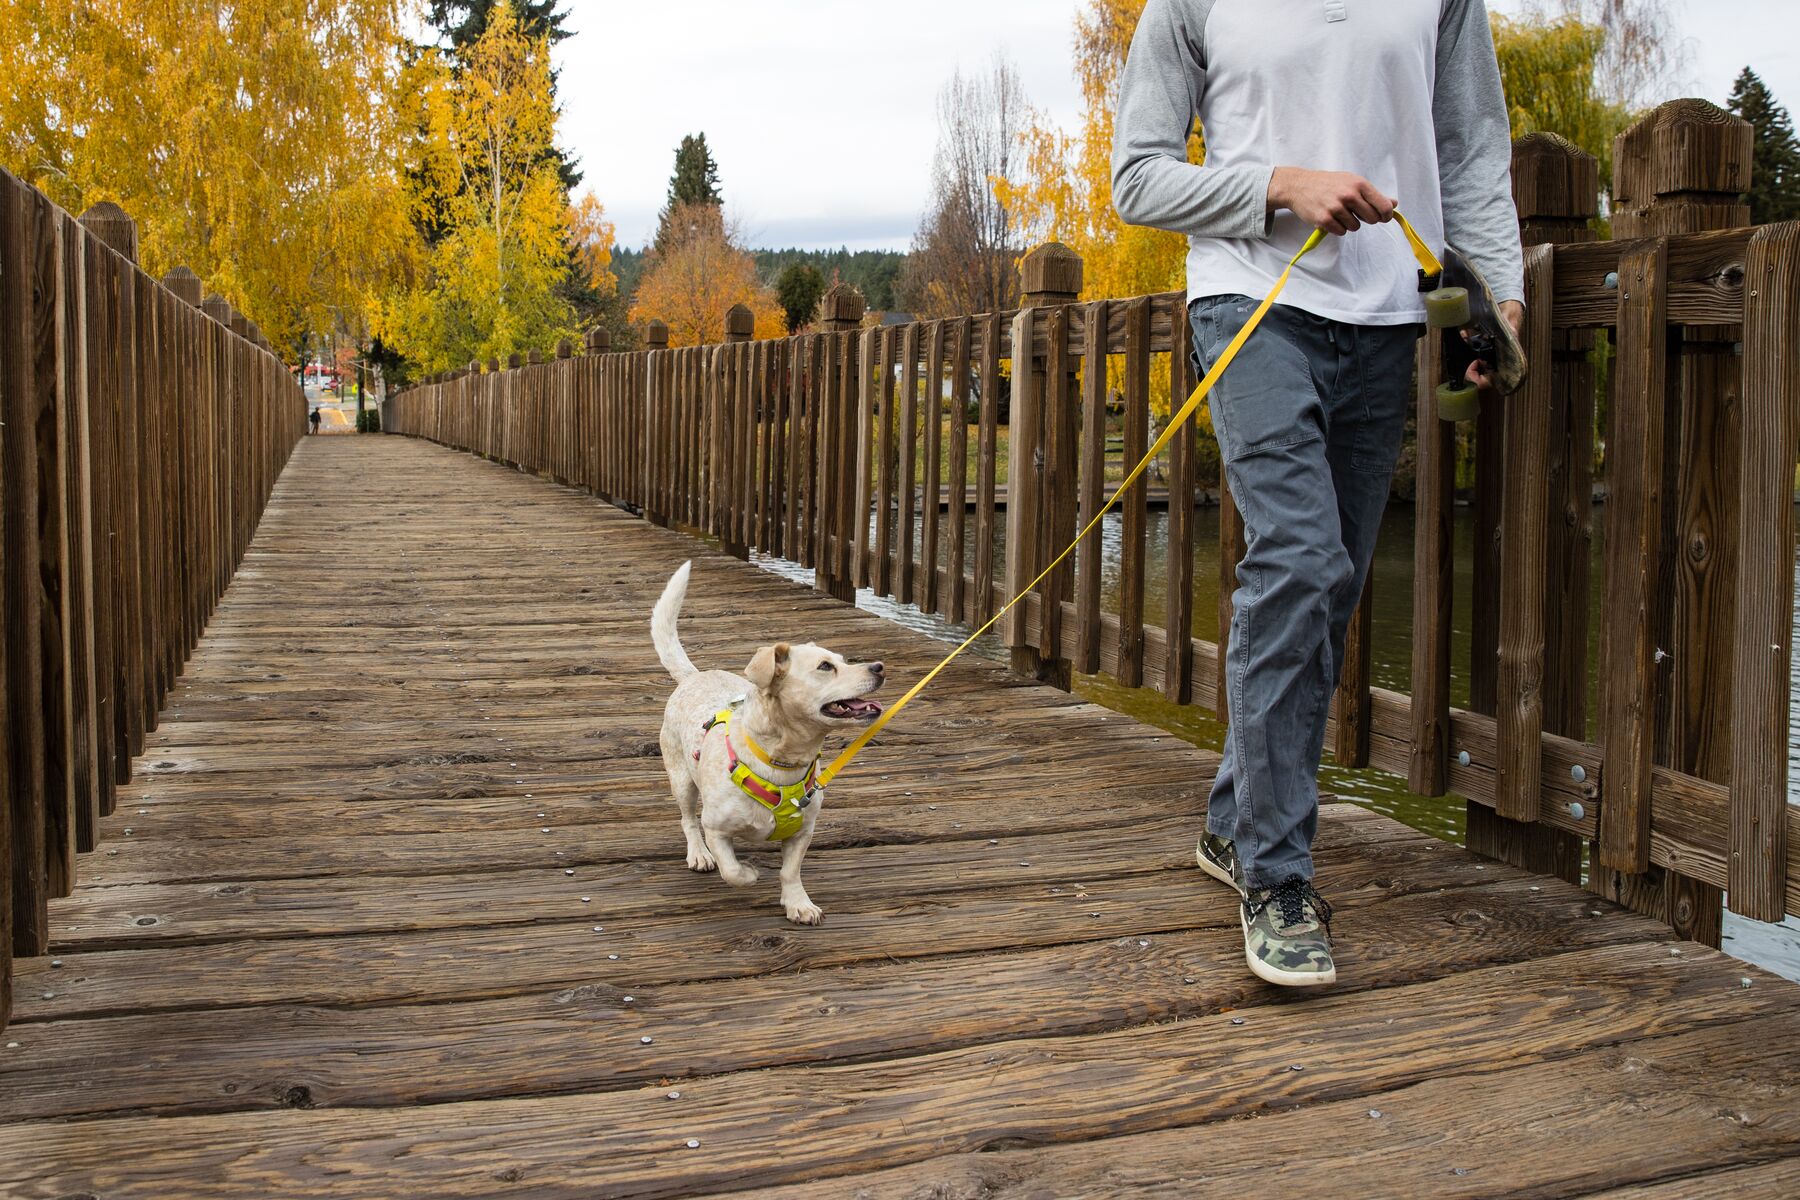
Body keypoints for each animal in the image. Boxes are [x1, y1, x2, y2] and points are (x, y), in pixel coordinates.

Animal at [658, 557, 889, 928]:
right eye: (826, 667)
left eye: (843, 660)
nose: (879, 667)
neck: (782, 762)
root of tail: (694, 676)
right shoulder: (717, 829)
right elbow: (732, 870)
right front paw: (750, 873)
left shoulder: (803, 832)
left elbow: (790, 872)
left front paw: (798, 903)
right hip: (681, 780)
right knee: (687, 819)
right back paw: (698, 853)